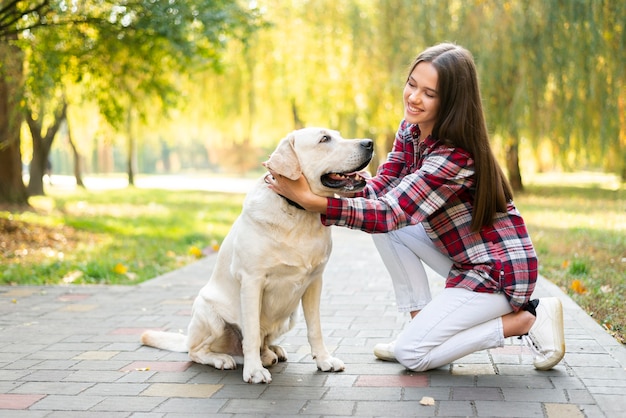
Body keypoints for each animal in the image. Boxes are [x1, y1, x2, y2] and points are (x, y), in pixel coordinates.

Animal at [140, 126, 372, 382]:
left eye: (337, 135)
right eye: (324, 139)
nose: (369, 143)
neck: (296, 213)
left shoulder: (315, 281)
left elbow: (315, 329)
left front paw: (324, 360)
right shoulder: (252, 281)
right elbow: (250, 333)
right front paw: (253, 371)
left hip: (290, 316)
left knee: (263, 342)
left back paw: (272, 352)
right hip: (209, 314)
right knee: (197, 351)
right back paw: (224, 359)